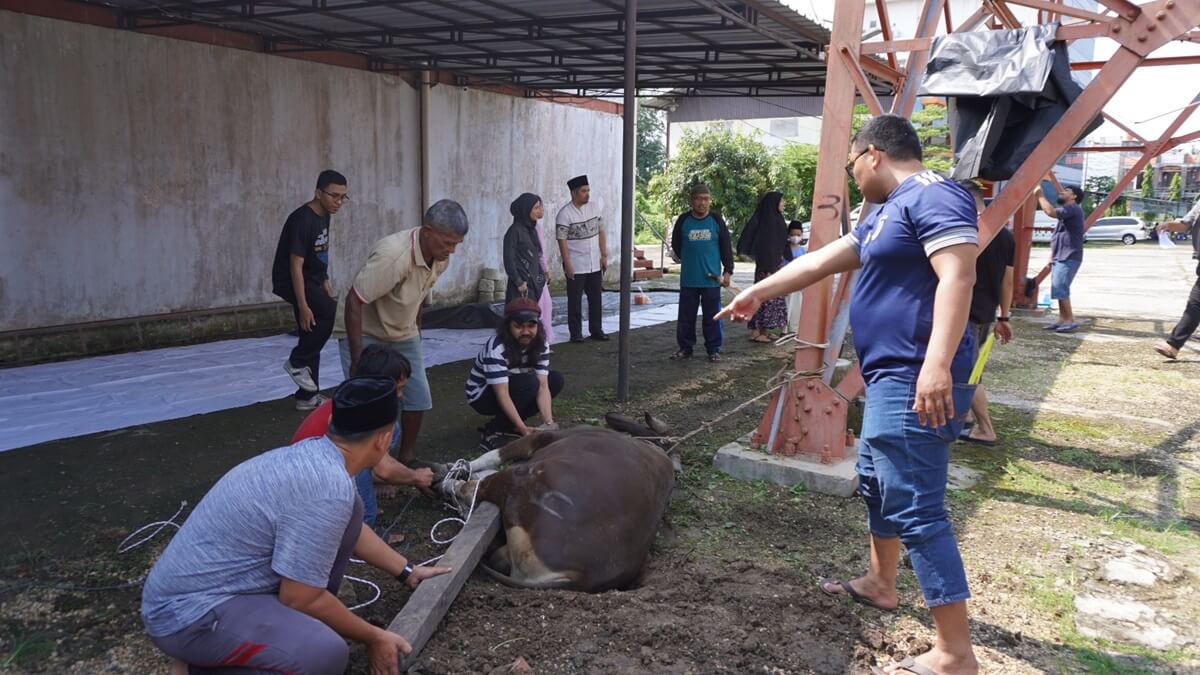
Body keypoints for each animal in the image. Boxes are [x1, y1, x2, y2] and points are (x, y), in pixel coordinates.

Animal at [446, 413, 681, 590]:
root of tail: (579, 576)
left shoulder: (543, 437)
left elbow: (495, 455)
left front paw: (458, 466)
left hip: (523, 477)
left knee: (476, 487)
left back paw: (450, 484)